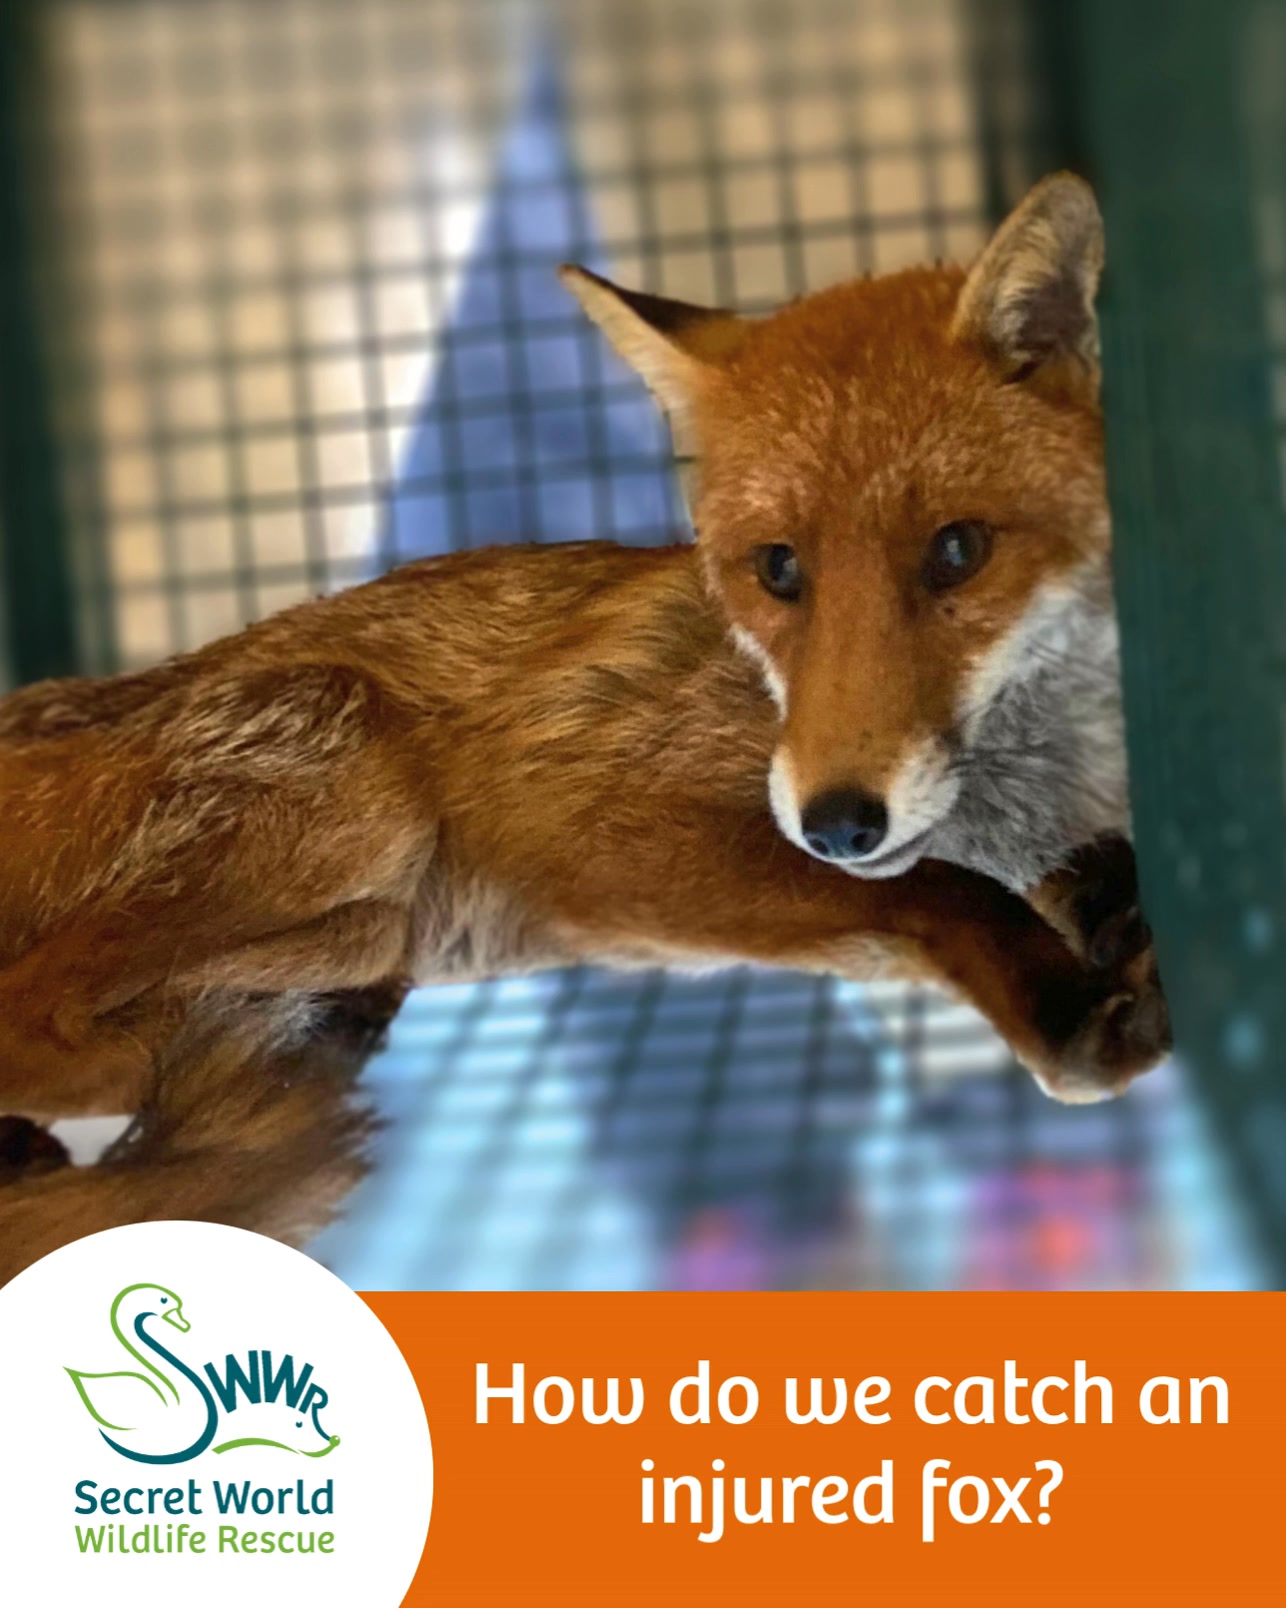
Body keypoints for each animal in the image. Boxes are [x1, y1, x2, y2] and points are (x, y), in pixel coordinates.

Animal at [0, 174, 1167, 1282]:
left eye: (957, 551)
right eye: (778, 569)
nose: (839, 821)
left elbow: (1042, 875)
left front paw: (1110, 914)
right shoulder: (609, 832)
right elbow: (933, 895)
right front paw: (1066, 1007)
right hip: (344, 763)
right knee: (39, 1016)